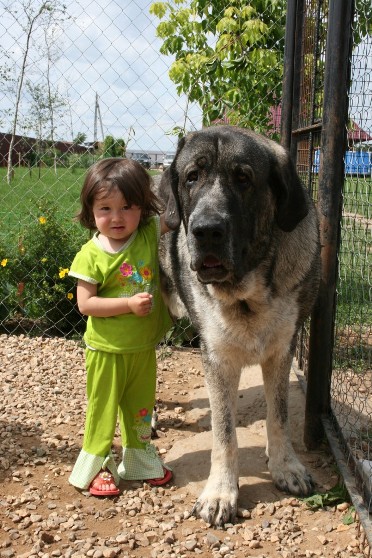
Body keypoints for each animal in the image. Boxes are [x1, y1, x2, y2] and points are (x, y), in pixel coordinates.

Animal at [156, 126, 320, 528]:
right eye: (192, 177)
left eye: (243, 178)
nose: (206, 231)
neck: (247, 293)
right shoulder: (217, 360)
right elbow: (224, 432)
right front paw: (220, 493)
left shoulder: (282, 351)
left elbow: (279, 416)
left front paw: (285, 466)